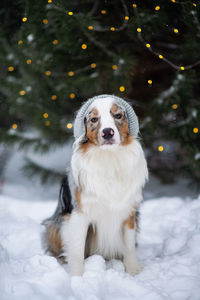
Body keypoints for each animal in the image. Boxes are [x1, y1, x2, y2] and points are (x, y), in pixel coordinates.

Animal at [42, 95, 148, 276]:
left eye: (118, 115)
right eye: (94, 119)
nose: (107, 132)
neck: (108, 158)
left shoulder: (128, 212)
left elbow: (129, 245)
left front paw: (133, 270)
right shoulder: (79, 214)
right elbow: (77, 250)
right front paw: (77, 276)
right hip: (54, 226)